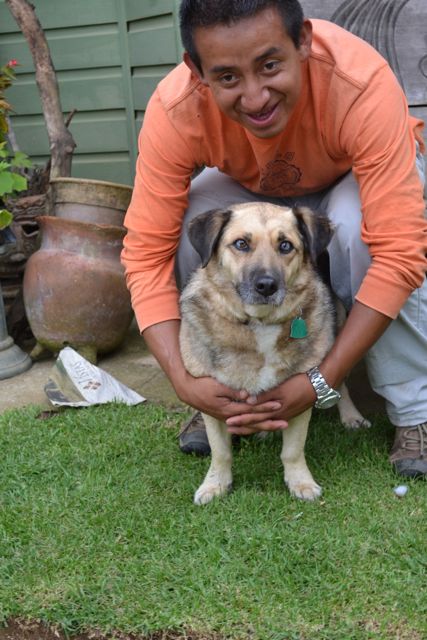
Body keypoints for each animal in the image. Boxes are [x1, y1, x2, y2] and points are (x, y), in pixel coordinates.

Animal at [179, 202, 369, 505]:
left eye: (285, 245)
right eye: (241, 244)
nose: (267, 285)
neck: (260, 323)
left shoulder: (301, 393)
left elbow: (292, 450)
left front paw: (300, 482)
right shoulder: (212, 401)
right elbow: (221, 452)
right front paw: (215, 484)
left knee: (341, 384)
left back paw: (351, 417)